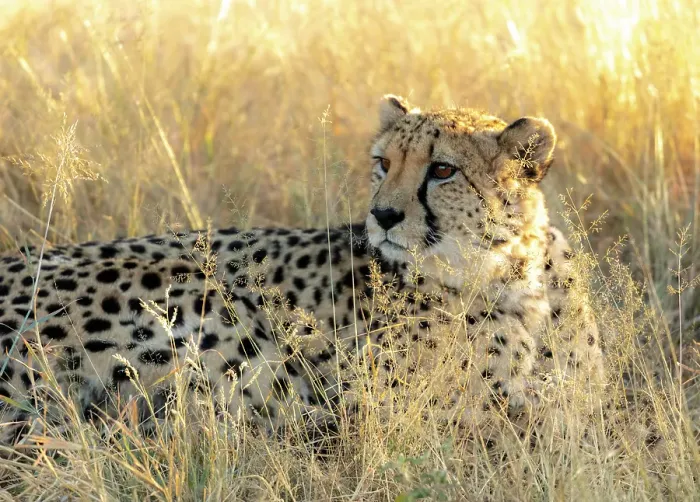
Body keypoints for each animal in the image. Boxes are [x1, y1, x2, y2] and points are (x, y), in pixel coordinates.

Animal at [0, 95, 605, 448]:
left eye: (442, 170)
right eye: (383, 163)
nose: (383, 216)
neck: (510, 273)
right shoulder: (397, 408)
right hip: (201, 297)